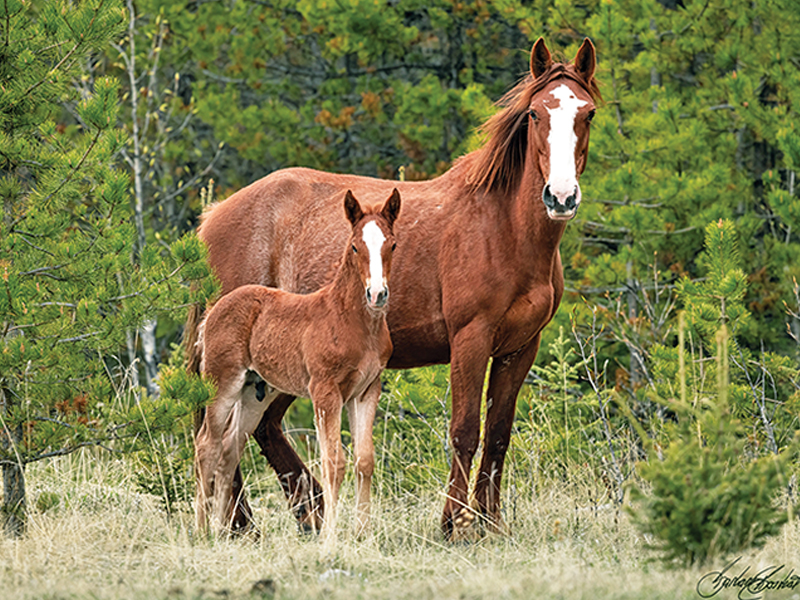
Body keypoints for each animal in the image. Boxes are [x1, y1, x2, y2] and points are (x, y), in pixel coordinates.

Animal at [194, 189, 400, 541]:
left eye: (392, 245)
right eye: (355, 246)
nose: (377, 294)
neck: (352, 321)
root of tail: (214, 311)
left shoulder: (366, 392)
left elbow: (364, 461)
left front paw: (363, 536)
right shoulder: (325, 392)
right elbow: (333, 462)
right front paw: (330, 538)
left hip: (254, 393)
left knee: (229, 448)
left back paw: (222, 532)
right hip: (222, 384)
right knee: (206, 445)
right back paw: (200, 532)